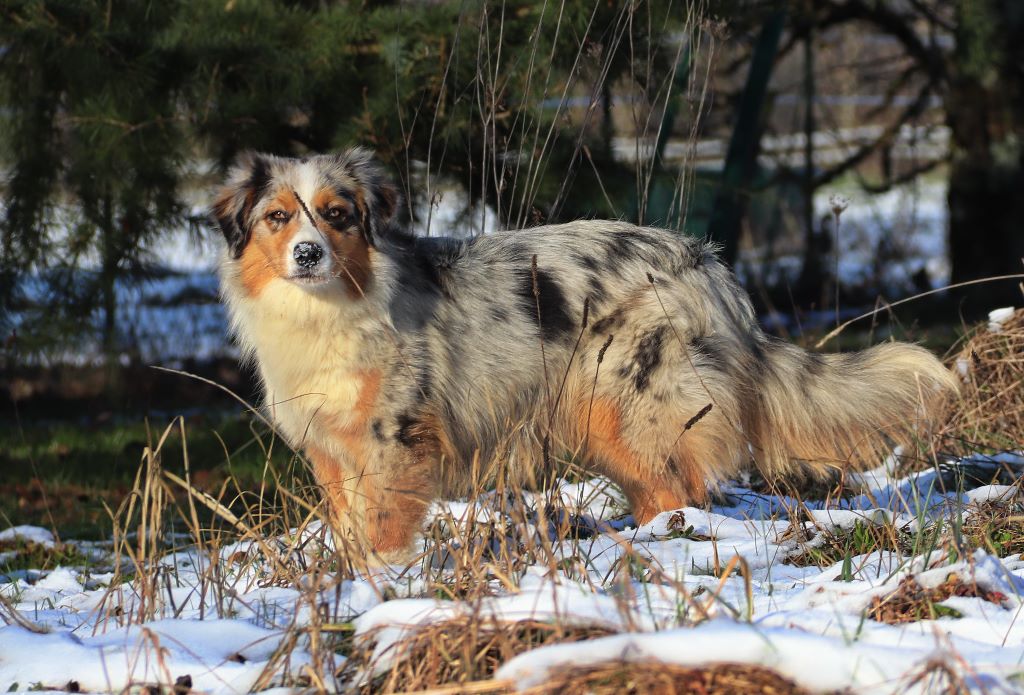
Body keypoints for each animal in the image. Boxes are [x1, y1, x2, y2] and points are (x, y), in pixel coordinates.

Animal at [211, 149, 954, 560]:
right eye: (279, 217)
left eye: (337, 214)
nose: (309, 254)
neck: (328, 309)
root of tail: (708, 264)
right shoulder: (331, 451)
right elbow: (350, 532)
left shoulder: (395, 439)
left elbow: (388, 528)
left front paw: (391, 587)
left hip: (632, 406)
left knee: (679, 492)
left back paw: (663, 548)